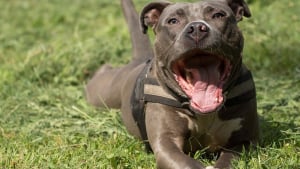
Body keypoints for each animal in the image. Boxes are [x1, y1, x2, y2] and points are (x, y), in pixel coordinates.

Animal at [85, 0, 258, 168]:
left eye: (218, 15)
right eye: (173, 21)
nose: (197, 28)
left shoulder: (244, 141)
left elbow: (229, 159)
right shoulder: (166, 143)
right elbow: (186, 163)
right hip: (102, 93)